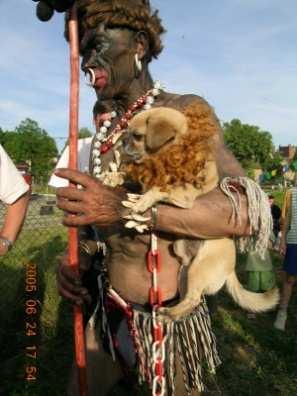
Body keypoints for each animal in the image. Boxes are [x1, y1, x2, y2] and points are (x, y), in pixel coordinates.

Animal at [119, 103, 278, 320]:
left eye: (136, 136)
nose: (122, 141)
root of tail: (231, 269)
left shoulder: (184, 193)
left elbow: (160, 189)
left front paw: (143, 201)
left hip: (198, 269)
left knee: (193, 299)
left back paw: (167, 313)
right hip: (183, 266)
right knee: (187, 298)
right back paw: (169, 310)